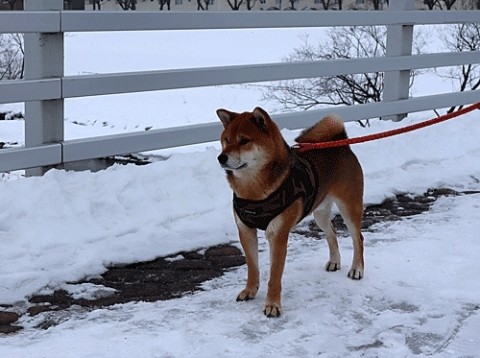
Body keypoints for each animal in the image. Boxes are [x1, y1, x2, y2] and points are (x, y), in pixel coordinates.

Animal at [218, 106, 364, 316]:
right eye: (226, 140)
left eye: (244, 140)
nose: (221, 157)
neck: (254, 193)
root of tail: (341, 144)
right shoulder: (245, 230)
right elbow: (253, 268)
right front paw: (250, 290)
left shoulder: (278, 234)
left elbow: (274, 276)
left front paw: (272, 304)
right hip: (319, 212)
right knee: (332, 233)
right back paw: (334, 261)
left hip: (349, 207)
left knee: (357, 238)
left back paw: (357, 269)